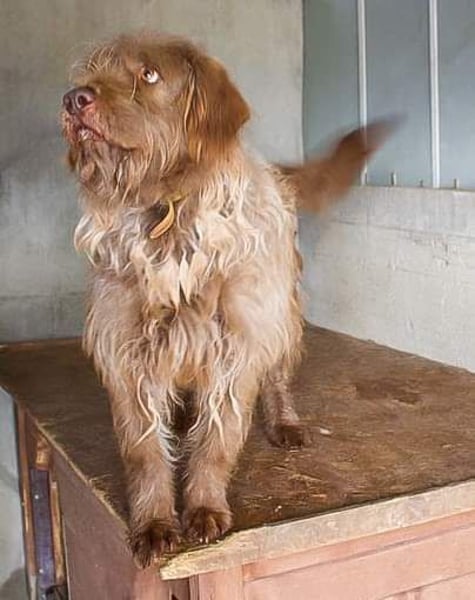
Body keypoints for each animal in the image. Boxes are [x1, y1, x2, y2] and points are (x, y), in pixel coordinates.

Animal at [61, 32, 390, 567]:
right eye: (89, 74)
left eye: (149, 74)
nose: (74, 100)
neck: (166, 210)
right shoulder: (128, 353)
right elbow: (144, 452)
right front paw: (154, 523)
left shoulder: (236, 347)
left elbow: (216, 442)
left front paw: (204, 508)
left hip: (281, 313)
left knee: (277, 377)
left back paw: (284, 422)